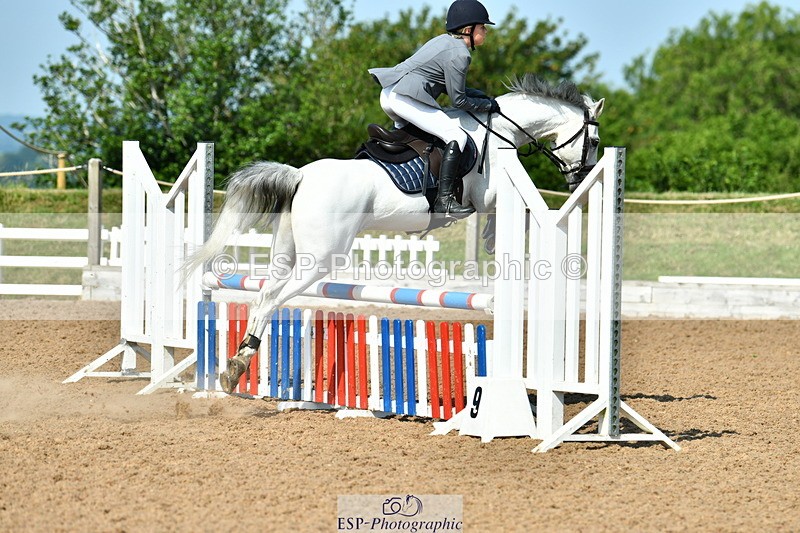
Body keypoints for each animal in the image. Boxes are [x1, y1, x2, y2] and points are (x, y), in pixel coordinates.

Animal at [185, 74, 604, 393]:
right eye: (596, 142)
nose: (580, 180)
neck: (498, 130)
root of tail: (300, 176)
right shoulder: (489, 193)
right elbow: (508, 211)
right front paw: (490, 237)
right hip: (319, 260)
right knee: (272, 298)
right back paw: (239, 364)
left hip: (286, 251)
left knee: (263, 293)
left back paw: (235, 365)